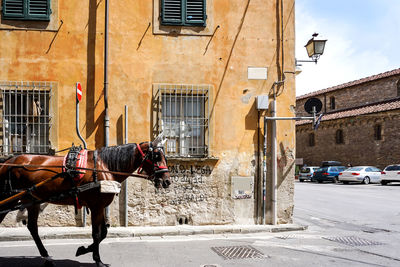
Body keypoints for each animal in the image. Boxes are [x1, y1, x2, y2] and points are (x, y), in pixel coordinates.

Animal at [0, 137, 170, 266]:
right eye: (156, 156)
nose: (167, 181)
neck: (104, 167)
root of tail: (9, 161)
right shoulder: (96, 206)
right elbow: (97, 234)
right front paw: (97, 259)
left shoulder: (101, 207)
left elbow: (103, 233)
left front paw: (84, 250)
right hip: (11, 199)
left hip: (33, 199)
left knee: (32, 228)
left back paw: (46, 256)